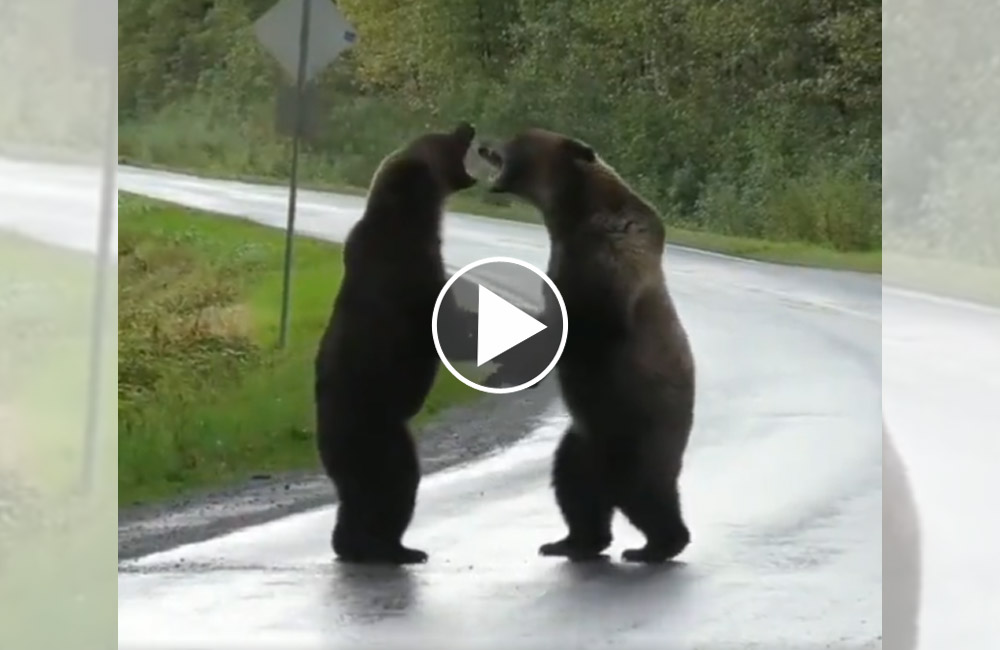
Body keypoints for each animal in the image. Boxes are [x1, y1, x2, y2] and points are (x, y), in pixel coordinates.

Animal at [316, 121, 480, 560]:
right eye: (440, 137)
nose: (466, 125)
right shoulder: (413, 273)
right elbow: (449, 328)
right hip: (376, 427)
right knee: (395, 482)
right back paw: (387, 547)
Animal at [480, 128, 700, 560]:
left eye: (517, 137)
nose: (482, 144)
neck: (571, 215)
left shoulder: (606, 264)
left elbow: (584, 326)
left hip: (638, 429)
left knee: (644, 492)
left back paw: (657, 545)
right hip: (583, 440)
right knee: (574, 486)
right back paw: (572, 541)